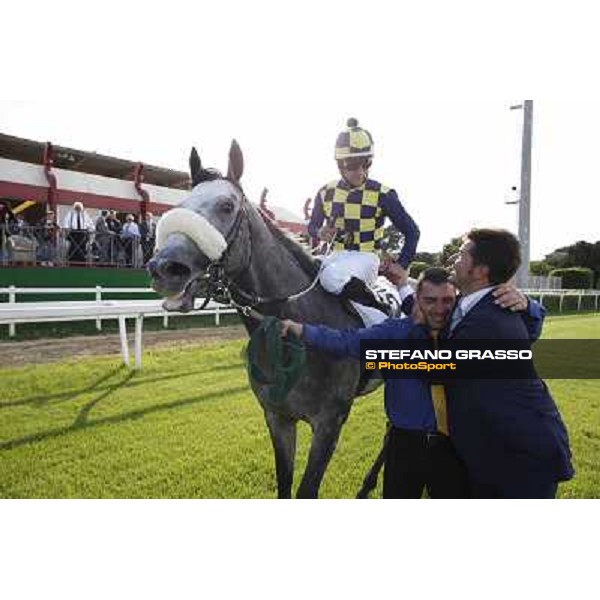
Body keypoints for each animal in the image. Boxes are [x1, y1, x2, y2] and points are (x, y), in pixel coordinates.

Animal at [149, 139, 384, 496]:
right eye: (181, 204)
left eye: (226, 206)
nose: (164, 268)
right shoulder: (277, 417)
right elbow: (284, 484)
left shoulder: (329, 423)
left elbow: (306, 491)